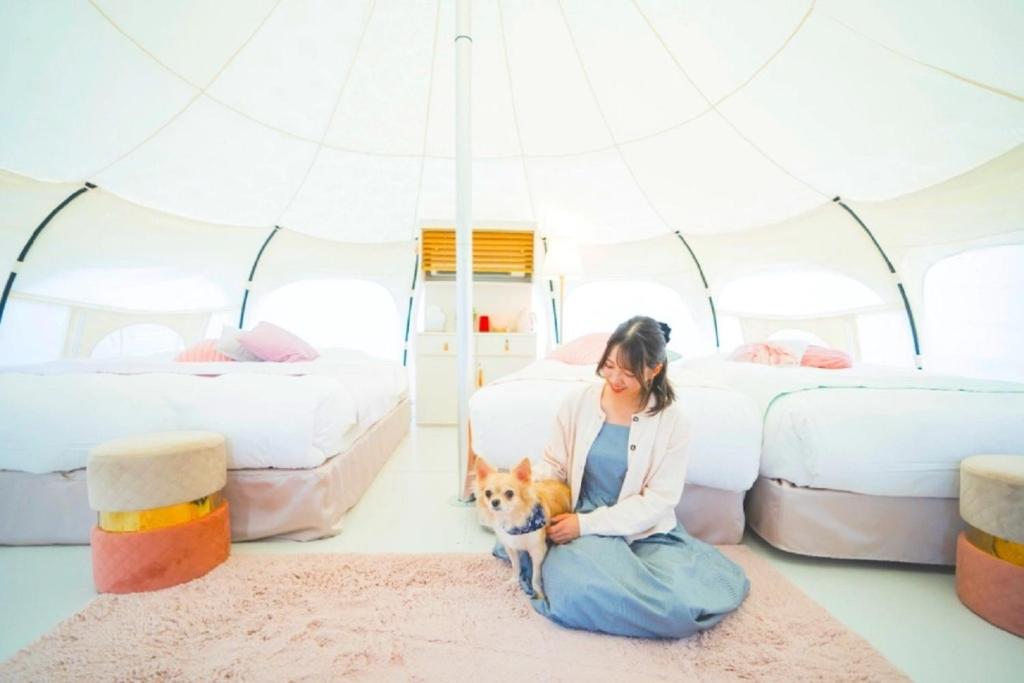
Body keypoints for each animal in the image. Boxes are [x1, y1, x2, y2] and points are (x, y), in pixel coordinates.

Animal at [473, 458, 573, 598]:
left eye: (509, 493)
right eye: (488, 493)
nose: (494, 502)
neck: (513, 520)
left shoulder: (537, 552)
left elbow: (535, 576)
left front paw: (538, 592)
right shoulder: (510, 547)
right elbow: (516, 566)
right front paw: (514, 581)